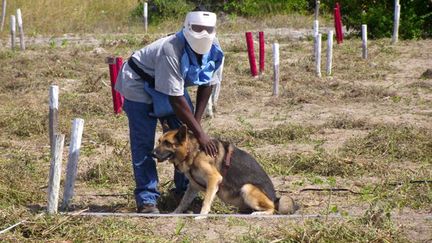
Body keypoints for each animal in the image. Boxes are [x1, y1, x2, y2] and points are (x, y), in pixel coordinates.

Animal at [152, 124, 296, 215]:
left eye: (167, 143)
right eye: (158, 141)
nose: (152, 154)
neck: (193, 151)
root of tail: (275, 198)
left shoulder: (214, 179)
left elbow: (206, 201)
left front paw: (202, 216)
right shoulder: (193, 186)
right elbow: (183, 202)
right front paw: (175, 213)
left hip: (247, 188)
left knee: (272, 209)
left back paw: (259, 214)